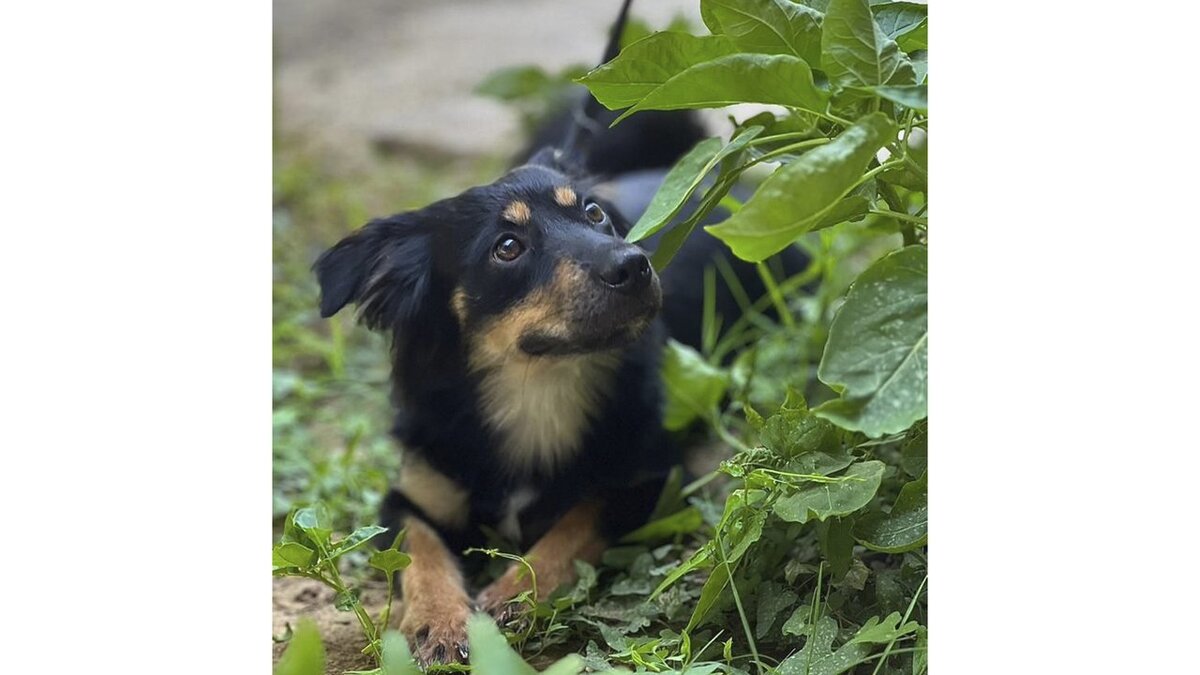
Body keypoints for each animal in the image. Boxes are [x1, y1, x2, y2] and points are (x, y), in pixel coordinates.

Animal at [314, 0, 801, 662]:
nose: (634, 264)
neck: (536, 384)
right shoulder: (410, 494)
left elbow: (575, 522)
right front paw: (440, 620)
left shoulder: (650, 477)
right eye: (508, 247)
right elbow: (421, 550)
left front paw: (515, 593)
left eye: (593, 214)